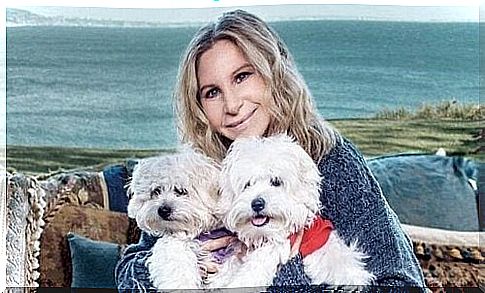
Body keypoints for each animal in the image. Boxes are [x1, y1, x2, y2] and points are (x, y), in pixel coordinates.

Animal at [211, 135, 374, 288]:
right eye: (247, 184)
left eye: (276, 182)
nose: (257, 204)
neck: (265, 234)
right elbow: (232, 262)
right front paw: (220, 279)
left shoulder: (279, 245)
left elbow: (253, 270)